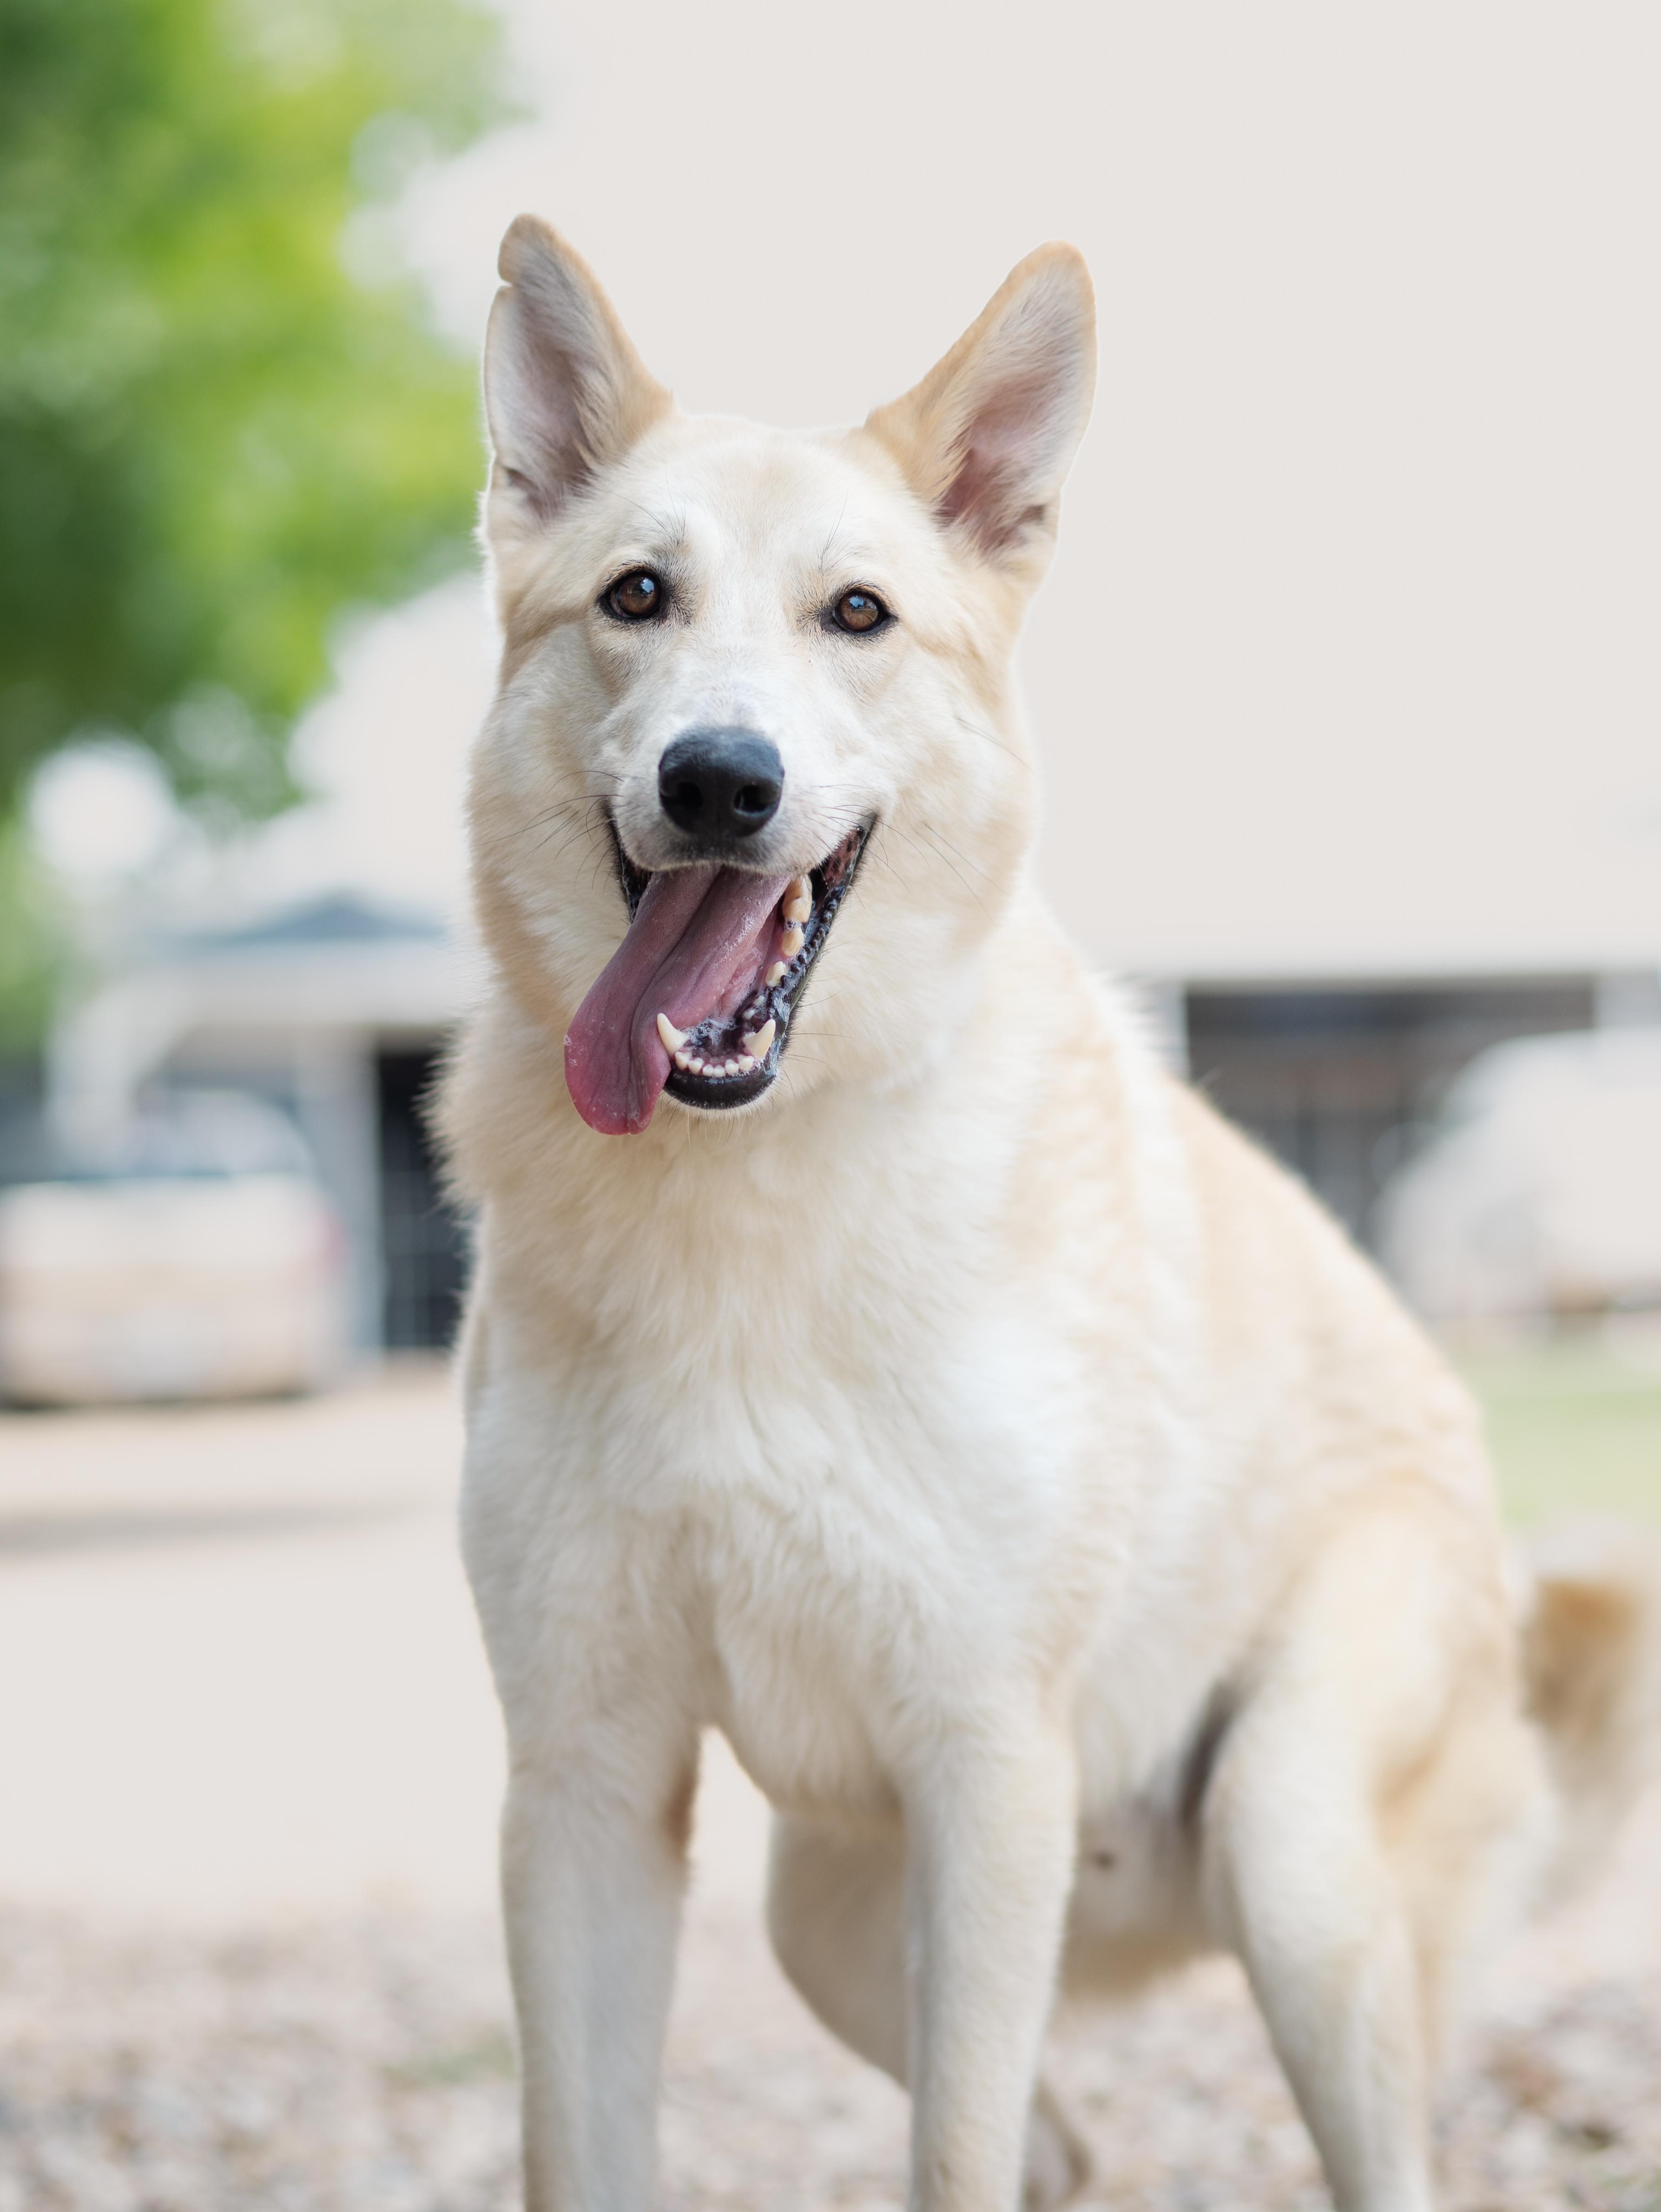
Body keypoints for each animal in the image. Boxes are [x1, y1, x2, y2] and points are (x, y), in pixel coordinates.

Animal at [440, 216, 1660, 2212]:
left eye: (857, 616)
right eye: (635, 596)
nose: (719, 778)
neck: (748, 1180)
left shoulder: (985, 1765)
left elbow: (951, 2153)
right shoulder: (584, 1785)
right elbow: (588, 2148)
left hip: (1282, 1852)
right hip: (830, 1920)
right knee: (1063, 2142)